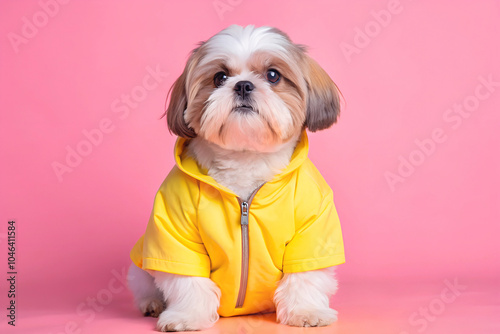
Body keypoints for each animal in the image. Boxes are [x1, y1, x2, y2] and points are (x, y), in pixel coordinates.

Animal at [128, 24, 344, 332]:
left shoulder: (313, 228)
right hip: (141, 264)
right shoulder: (175, 230)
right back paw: (152, 303)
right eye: (219, 77)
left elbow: (305, 275)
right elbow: (188, 280)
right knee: (145, 284)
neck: (246, 158)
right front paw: (187, 316)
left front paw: (307, 311)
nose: (242, 85)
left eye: (273, 75)